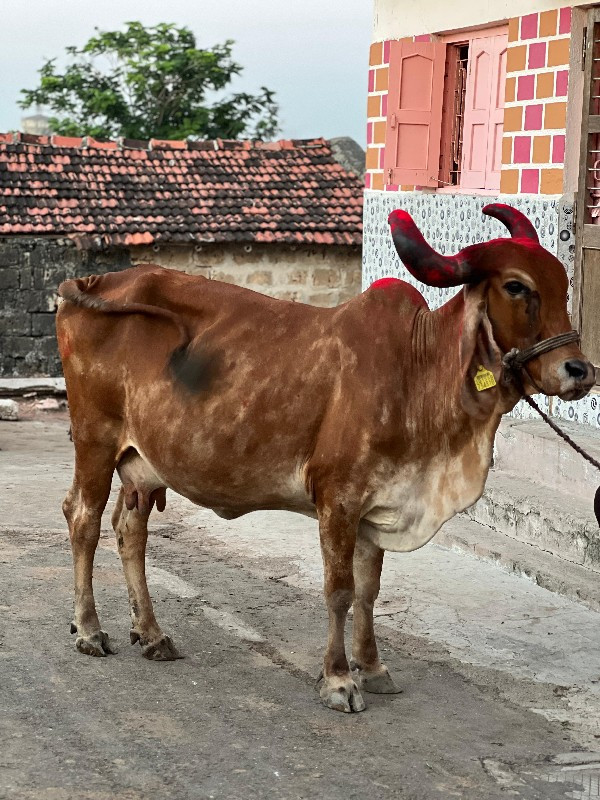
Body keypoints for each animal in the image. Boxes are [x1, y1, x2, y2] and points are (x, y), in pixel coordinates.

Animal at [56, 205, 596, 712]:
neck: (417, 372)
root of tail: (92, 281)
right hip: (95, 441)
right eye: (516, 286)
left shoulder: (378, 504)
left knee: (130, 532)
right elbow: (339, 590)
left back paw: (151, 634)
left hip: (141, 466)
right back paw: (88, 629)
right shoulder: (339, 499)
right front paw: (339, 680)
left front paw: (373, 668)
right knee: (83, 519)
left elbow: (368, 590)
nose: (579, 370)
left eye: (563, 283)